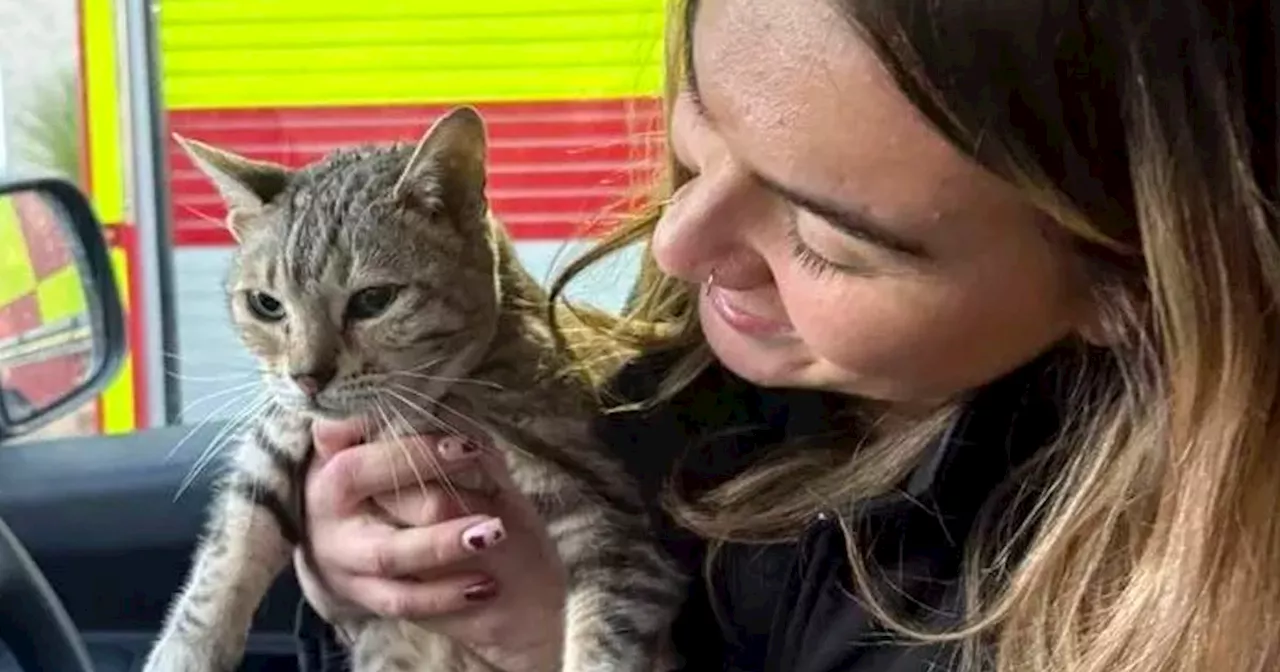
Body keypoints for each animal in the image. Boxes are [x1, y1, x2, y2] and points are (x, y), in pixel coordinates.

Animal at [144, 107, 686, 665]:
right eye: (266, 305)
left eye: (373, 300)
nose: (307, 376)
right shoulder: (278, 432)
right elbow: (226, 556)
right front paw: (184, 651)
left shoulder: (612, 523)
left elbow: (605, 638)